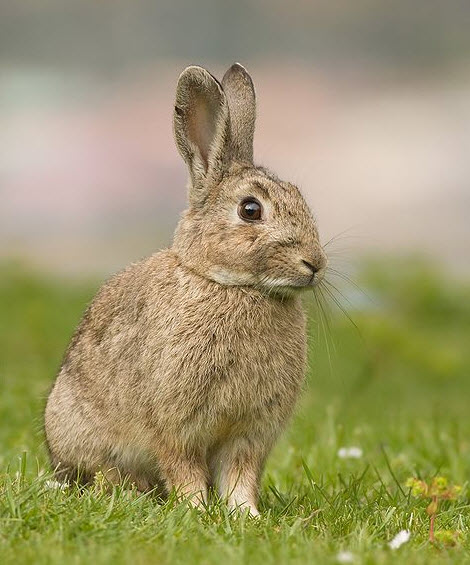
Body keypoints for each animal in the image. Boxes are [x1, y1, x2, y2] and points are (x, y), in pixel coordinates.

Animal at [46, 62, 328, 516]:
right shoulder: (175, 425)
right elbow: (183, 469)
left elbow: (240, 475)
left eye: (300, 197)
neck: (233, 286)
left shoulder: (249, 434)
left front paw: (245, 515)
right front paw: (195, 509)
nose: (315, 264)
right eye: (251, 209)